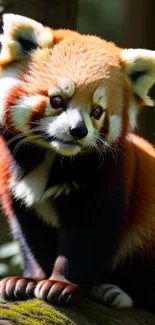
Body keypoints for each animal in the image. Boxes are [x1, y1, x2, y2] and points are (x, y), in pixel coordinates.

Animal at [0, 13, 155, 308]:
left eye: (97, 111)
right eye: (57, 100)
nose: (78, 130)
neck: (54, 156)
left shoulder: (109, 176)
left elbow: (88, 236)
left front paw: (62, 285)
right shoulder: (14, 183)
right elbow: (29, 237)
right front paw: (29, 280)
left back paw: (117, 293)